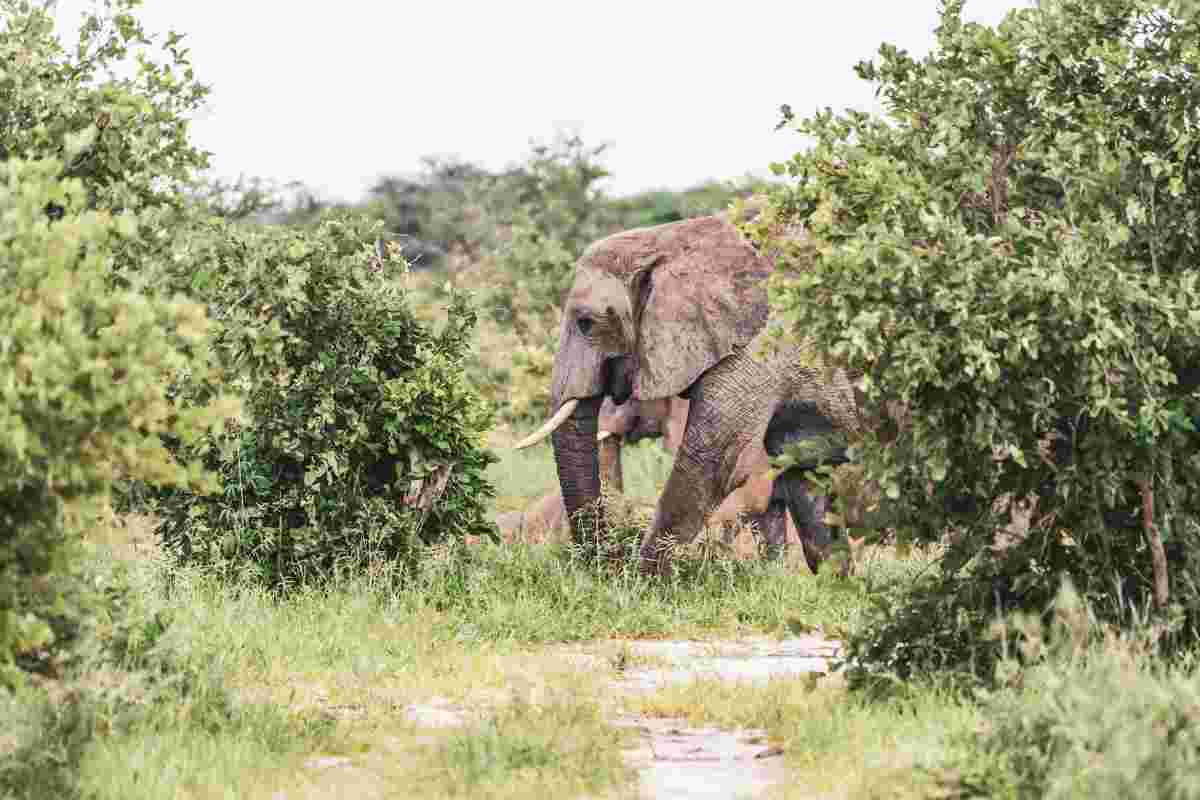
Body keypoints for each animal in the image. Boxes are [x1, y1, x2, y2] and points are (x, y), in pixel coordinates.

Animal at [514, 212, 867, 575]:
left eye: (586, 323)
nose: (608, 561)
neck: (668, 240)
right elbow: (808, 482)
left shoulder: (764, 345)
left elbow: (713, 461)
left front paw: (643, 583)